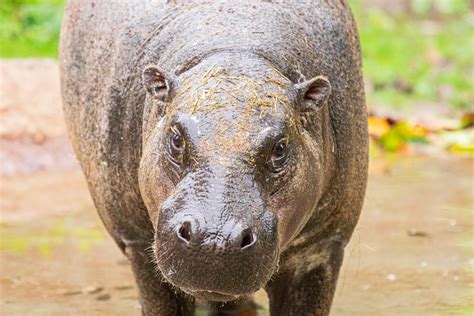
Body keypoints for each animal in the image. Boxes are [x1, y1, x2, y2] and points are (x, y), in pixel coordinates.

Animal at [59, 1, 368, 314]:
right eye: (176, 138)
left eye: (279, 148)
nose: (214, 238)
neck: (236, 49)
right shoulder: (138, 242)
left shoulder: (320, 247)